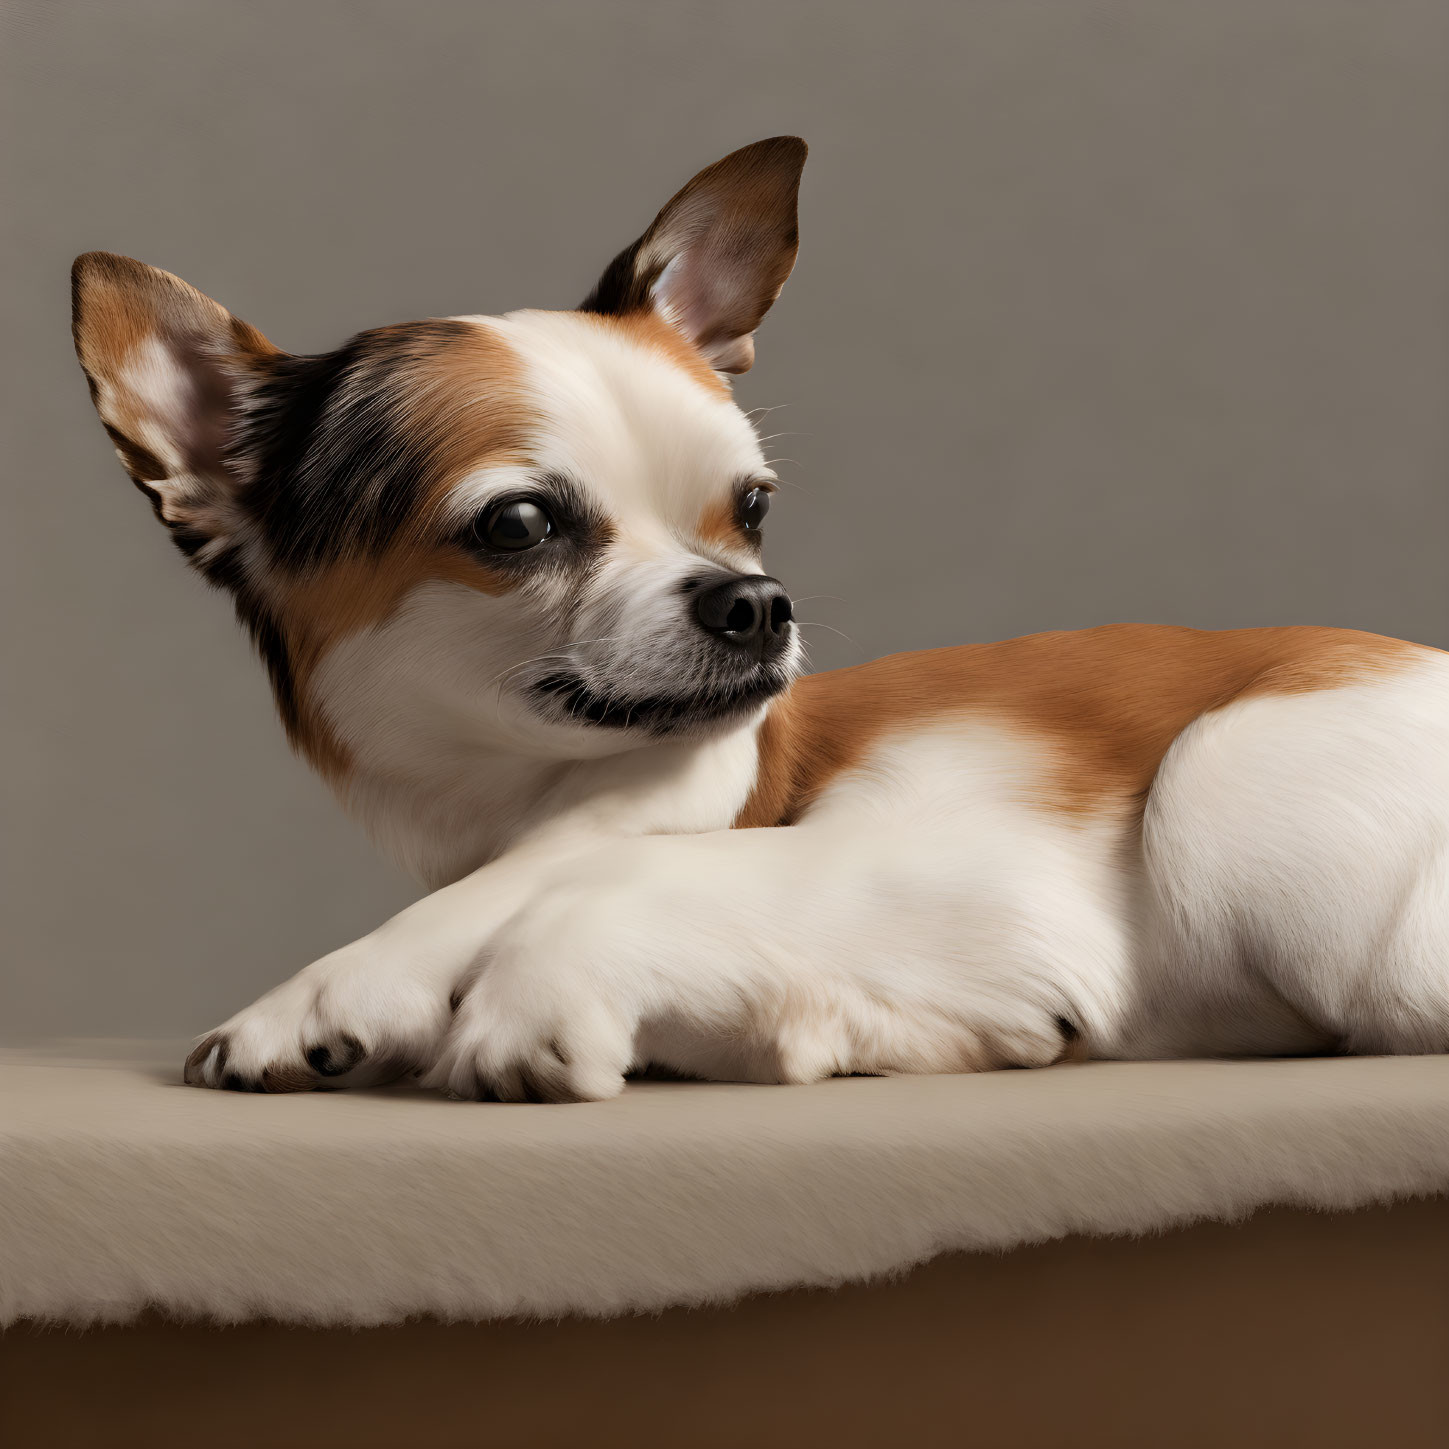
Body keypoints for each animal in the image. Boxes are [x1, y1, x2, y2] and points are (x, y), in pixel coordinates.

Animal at [76, 141, 1449, 1101]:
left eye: (752, 508)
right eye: (517, 526)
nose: (755, 598)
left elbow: (608, 871)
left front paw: (348, 992)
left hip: (1233, 793)